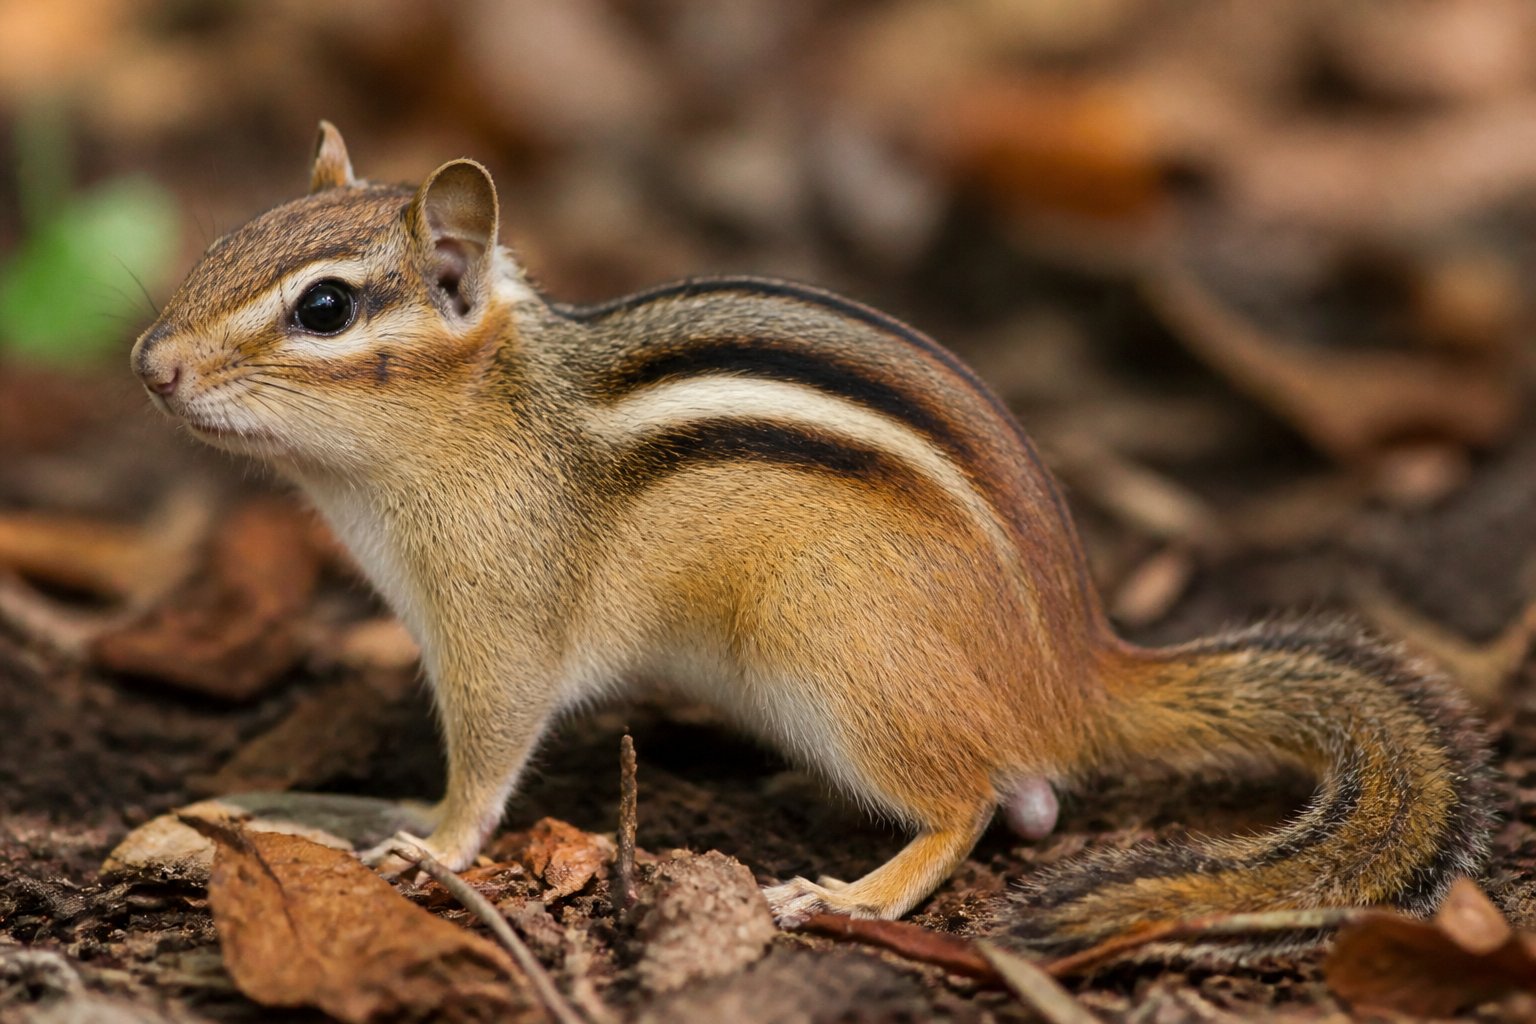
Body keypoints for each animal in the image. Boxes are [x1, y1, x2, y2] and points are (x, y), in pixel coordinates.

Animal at [130, 123, 1495, 959]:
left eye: (324, 308)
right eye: (226, 240)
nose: (151, 363)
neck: (484, 420)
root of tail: (1080, 667)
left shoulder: (498, 626)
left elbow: (488, 757)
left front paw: (428, 836)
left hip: (839, 656)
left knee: (969, 803)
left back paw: (848, 890)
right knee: (1028, 797)